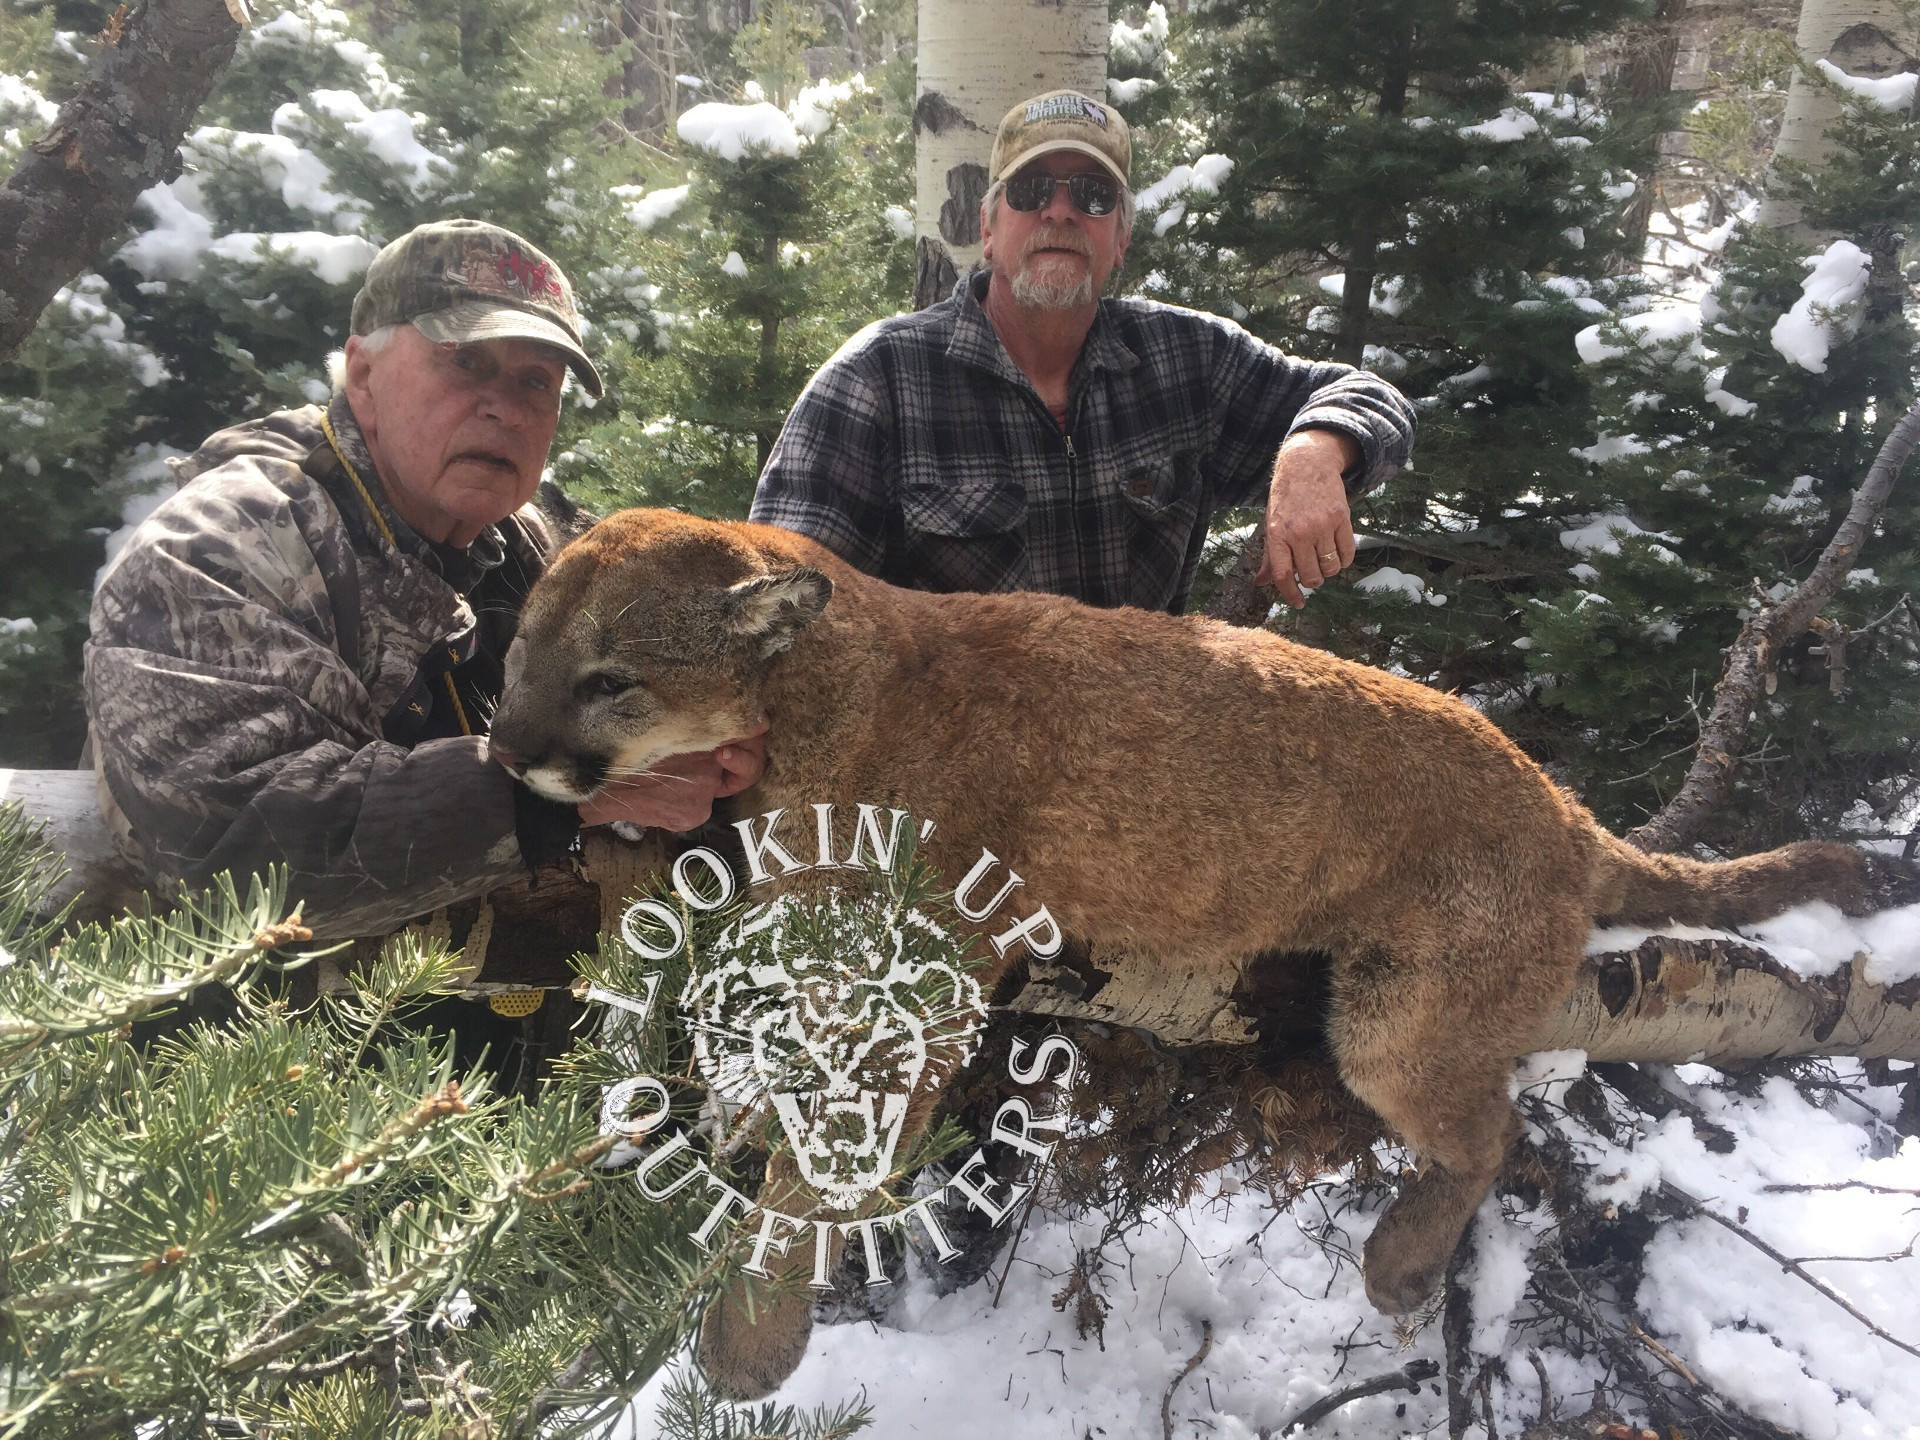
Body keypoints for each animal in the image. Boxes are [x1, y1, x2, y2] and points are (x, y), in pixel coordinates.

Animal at [487, 507, 1919, 1398]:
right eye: (516, 653)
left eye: (610, 679)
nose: (503, 750)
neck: (812, 704)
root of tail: (1558, 800)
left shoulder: (928, 972)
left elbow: (819, 1163)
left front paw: (753, 1339)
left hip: (1399, 1020)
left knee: (1493, 1129)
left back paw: (1403, 1262)